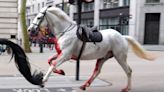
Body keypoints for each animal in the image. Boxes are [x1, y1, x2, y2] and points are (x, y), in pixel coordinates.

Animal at [27, 6, 156, 91]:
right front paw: (60, 72)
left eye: (38, 18)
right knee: (97, 71)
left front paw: (43, 81)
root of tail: (122, 36)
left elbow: (53, 64)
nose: (29, 30)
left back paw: (127, 88)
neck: (65, 32)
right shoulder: (61, 54)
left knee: (128, 71)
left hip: (120, 57)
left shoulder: (65, 55)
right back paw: (84, 85)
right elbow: (50, 61)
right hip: (103, 57)